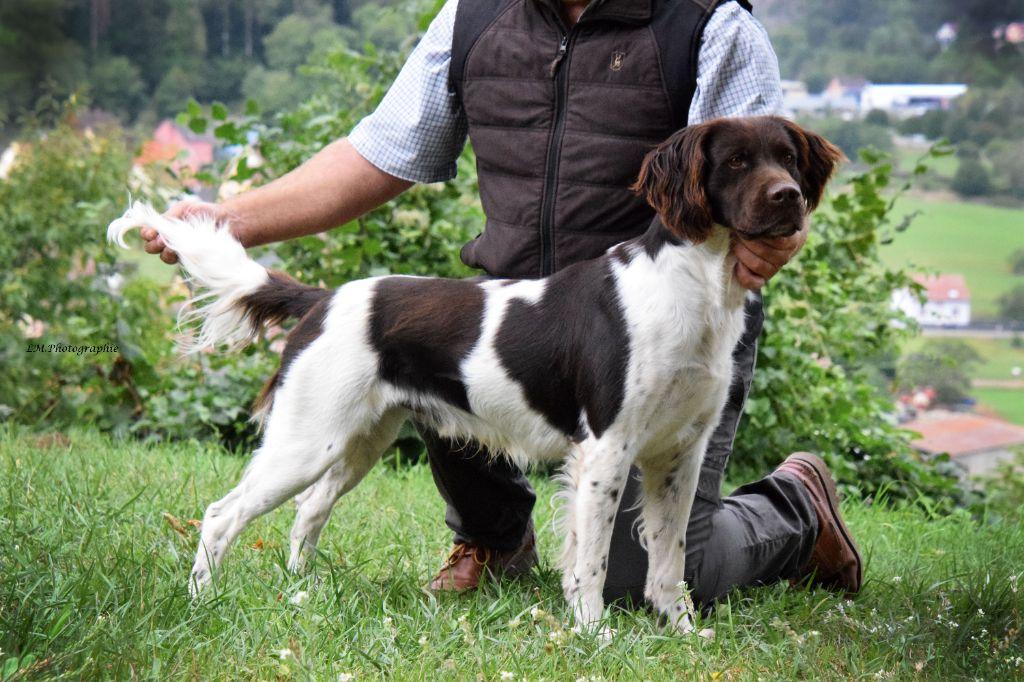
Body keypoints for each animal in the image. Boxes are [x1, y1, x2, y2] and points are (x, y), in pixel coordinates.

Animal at [105, 115, 839, 630]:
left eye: (787, 158)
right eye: (736, 161)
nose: (790, 198)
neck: (693, 286)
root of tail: (323, 297)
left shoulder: (677, 455)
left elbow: (667, 560)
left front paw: (681, 633)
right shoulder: (606, 449)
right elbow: (595, 561)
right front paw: (594, 634)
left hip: (358, 440)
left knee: (306, 514)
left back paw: (300, 594)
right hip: (306, 439)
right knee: (220, 516)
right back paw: (202, 602)